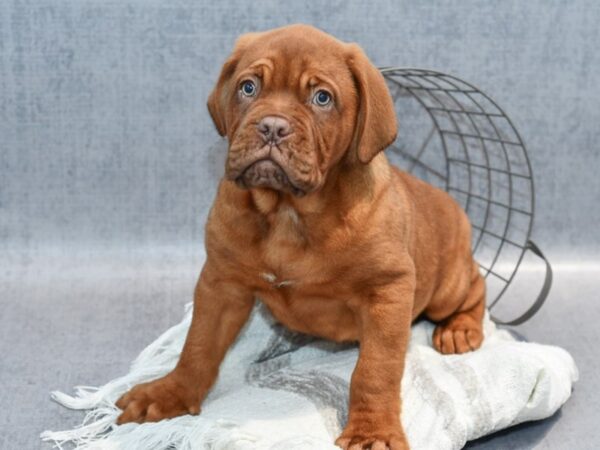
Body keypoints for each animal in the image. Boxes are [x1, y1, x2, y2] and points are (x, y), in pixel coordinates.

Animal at [116, 23, 488, 450]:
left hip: (445, 288)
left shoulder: (388, 290)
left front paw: (372, 431)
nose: (272, 127)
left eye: (322, 98)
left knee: (476, 286)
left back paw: (460, 330)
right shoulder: (221, 283)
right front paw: (169, 393)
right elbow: (198, 345)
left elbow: (375, 370)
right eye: (248, 87)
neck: (286, 213)